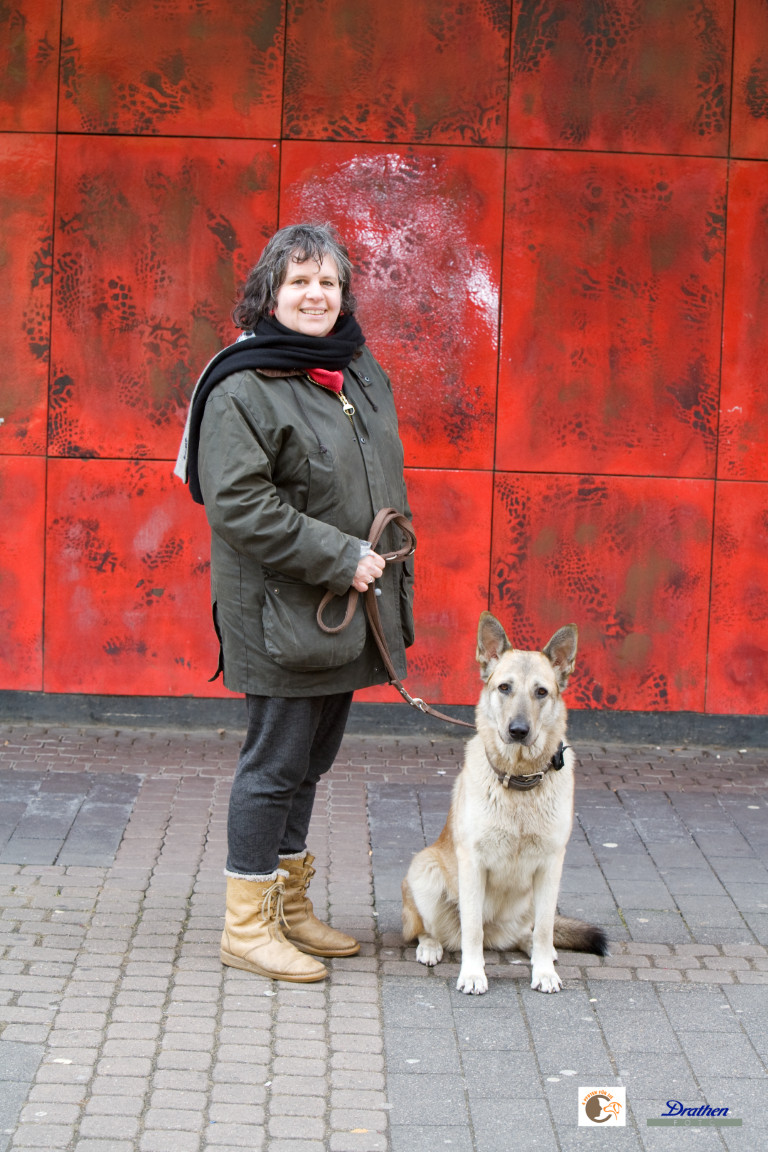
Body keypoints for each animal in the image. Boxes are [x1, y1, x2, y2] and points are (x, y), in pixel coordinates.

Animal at [400, 608, 607, 995]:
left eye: (541, 692)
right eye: (504, 687)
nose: (518, 731)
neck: (520, 780)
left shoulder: (551, 865)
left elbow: (544, 929)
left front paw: (543, 972)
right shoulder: (473, 864)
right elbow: (472, 930)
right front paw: (472, 974)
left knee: (529, 934)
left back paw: (542, 953)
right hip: (425, 871)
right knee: (431, 929)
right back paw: (431, 946)